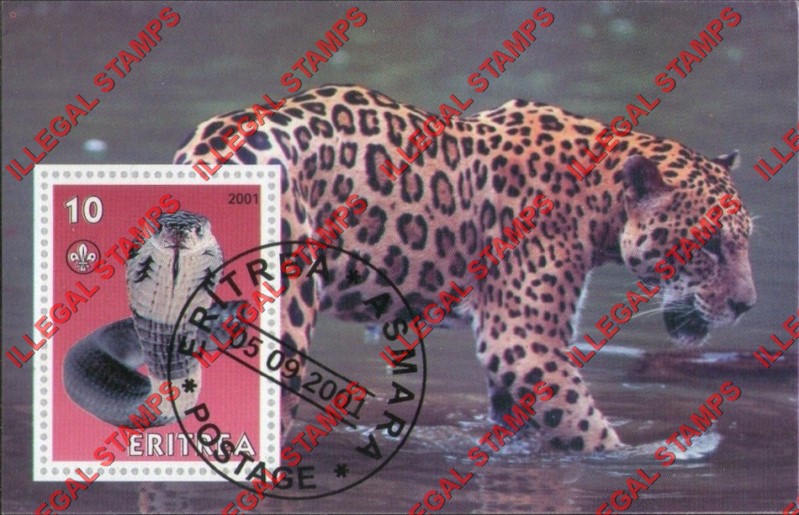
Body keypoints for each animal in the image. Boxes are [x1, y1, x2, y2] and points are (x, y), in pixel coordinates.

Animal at [173, 84, 756, 453]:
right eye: (709, 245)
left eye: (744, 240)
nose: (746, 305)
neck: (601, 201)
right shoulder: (524, 342)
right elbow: (589, 430)